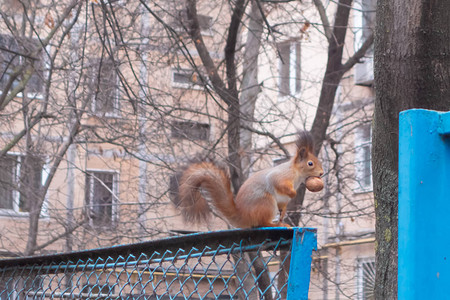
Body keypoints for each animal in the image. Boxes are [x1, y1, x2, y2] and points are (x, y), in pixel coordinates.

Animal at [175, 131, 324, 227]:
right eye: (310, 163)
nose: (322, 173)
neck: (297, 175)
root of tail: (244, 216)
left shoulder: (283, 201)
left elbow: (284, 204)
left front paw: (286, 210)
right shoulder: (281, 176)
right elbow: (278, 183)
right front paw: (293, 193)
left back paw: (281, 222)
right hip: (265, 202)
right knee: (262, 223)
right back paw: (276, 224)